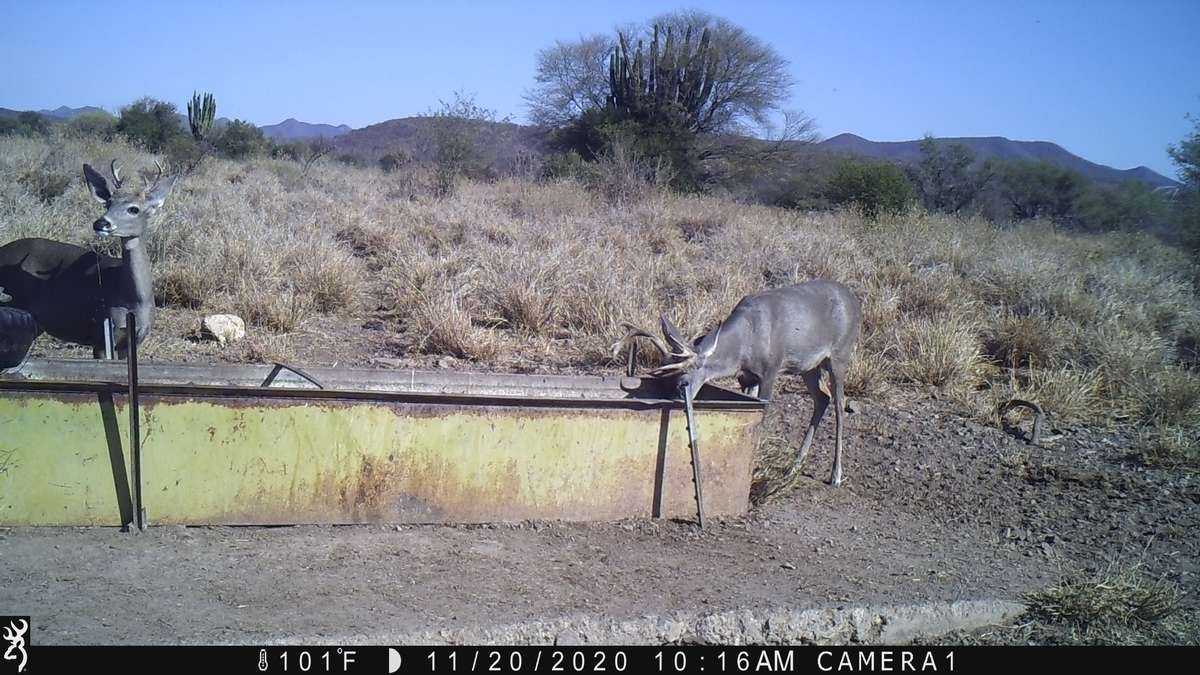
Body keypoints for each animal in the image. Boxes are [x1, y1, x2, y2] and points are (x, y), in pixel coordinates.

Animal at [0, 160, 178, 358]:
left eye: (134, 209)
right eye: (108, 204)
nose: (101, 223)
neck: (135, 300)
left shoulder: (134, 340)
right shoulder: (100, 334)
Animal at [614, 280, 863, 486]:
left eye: (683, 382)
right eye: (665, 381)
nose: (671, 405)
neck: (744, 344)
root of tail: (855, 300)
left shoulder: (771, 369)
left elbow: (763, 413)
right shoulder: (747, 377)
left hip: (840, 355)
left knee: (839, 404)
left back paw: (835, 475)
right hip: (809, 366)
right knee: (823, 397)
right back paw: (793, 468)